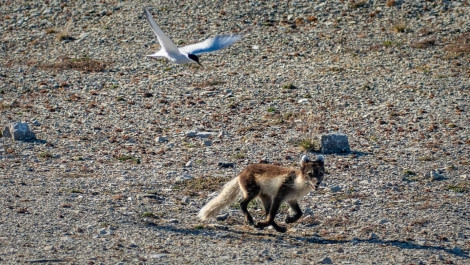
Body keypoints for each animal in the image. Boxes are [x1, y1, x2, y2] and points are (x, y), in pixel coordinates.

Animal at [196, 154, 324, 232]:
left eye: (321, 173)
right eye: (310, 174)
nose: (317, 183)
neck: (297, 184)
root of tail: (241, 173)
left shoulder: (291, 199)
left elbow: (300, 213)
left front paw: (290, 220)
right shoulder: (279, 196)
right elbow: (271, 216)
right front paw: (262, 224)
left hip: (265, 197)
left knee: (267, 213)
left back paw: (278, 228)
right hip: (254, 191)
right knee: (243, 204)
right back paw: (251, 220)